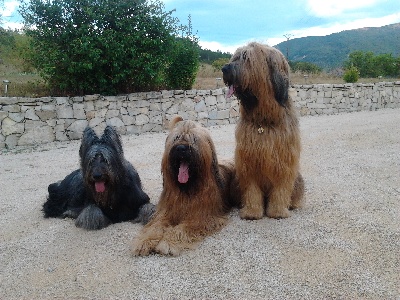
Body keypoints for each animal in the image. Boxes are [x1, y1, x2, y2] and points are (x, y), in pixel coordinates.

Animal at [131, 116, 234, 255]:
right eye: (176, 138)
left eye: (194, 139)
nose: (181, 148)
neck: (186, 189)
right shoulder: (165, 213)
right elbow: (155, 226)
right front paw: (144, 241)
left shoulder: (202, 217)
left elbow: (184, 227)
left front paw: (168, 242)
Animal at [222, 42, 304, 219]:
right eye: (235, 57)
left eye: (246, 58)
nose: (224, 68)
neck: (264, 120)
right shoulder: (248, 162)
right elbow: (252, 190)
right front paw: (252, 212)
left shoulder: (285, 161)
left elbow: (281, 188)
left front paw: (278, 211)